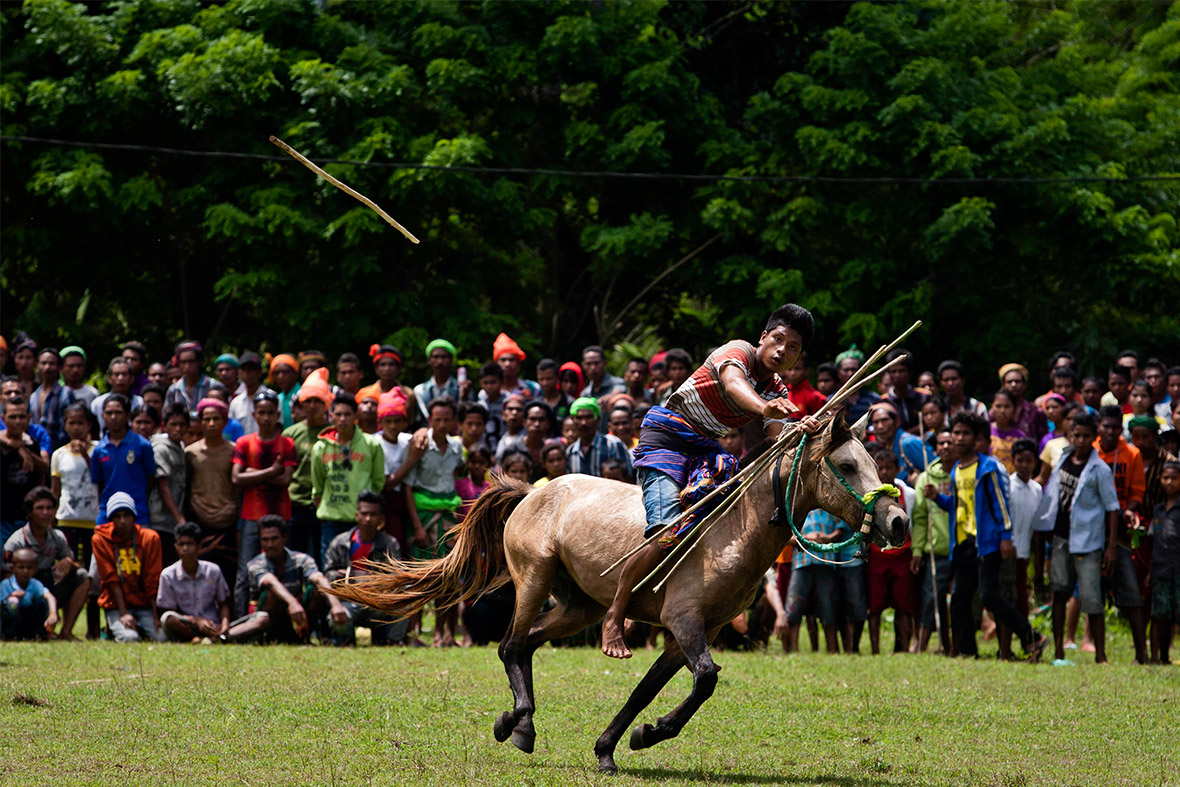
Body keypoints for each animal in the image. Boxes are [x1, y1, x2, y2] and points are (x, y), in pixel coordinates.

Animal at [328, 415, 906, 774]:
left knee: (528, 645)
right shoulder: (685, 620)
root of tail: (531, 490)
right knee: (510, 645)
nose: (899, 521)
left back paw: (520, 724)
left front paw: (617, 745)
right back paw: (516, 723)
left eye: (874, 462)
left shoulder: (686, 634)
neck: (731, 528)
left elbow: (647, 691)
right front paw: (649, 733)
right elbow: (705, 680)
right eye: (847, 466)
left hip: (581, 605)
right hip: (534, 579)